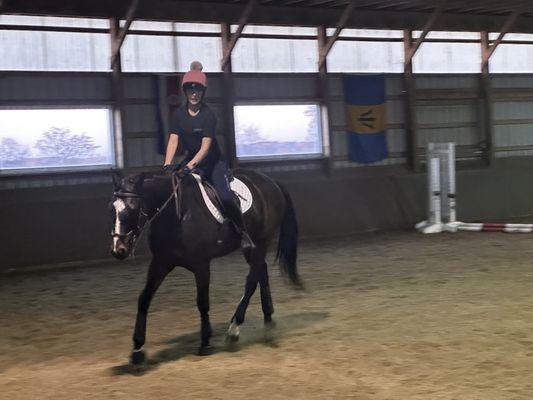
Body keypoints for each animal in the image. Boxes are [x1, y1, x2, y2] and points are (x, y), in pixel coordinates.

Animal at [109, 167, 300, 364]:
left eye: (133, 208)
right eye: (112, 208)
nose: (118, 250)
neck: (177, 215)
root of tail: (271, 182)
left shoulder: (201, 264)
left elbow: (202, 302)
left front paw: (205, 342)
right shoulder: (161, 262)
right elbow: (144, 299)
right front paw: (137, 349)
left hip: (261, 242)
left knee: (251, 281)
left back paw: (234, 329)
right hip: (254, 248)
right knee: (261, 271)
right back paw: (268, 320)